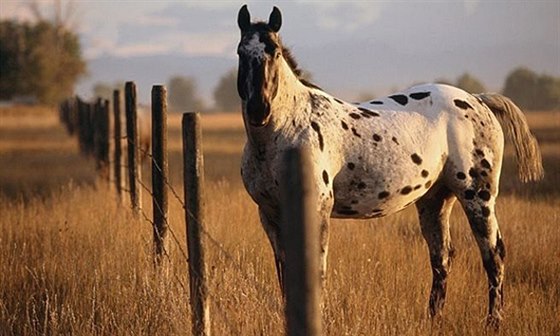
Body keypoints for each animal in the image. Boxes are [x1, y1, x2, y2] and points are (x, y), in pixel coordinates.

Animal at [235, 3, 544, 326]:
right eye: (241, 52)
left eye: (274, 52)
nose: (259, 110)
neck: (289, 129)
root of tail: (478, 99)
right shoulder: (270, 215)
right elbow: (284, 270)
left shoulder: (317, 210)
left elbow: (315, 268)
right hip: (435, 199)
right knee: (442, 257)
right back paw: (433, 319)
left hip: (478, 196)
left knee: (493, 254)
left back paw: (493, 321)